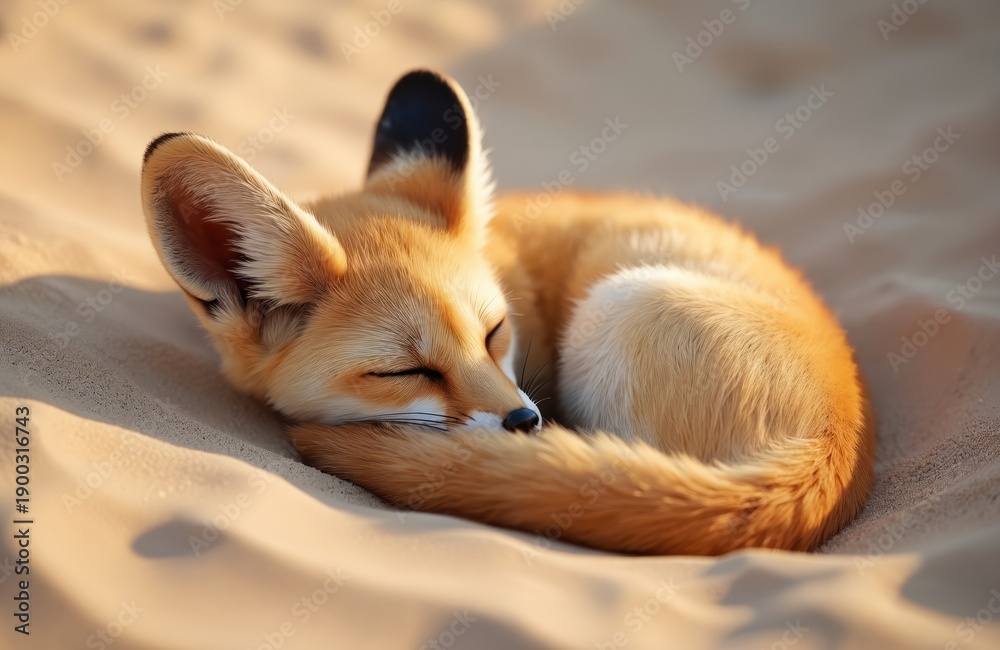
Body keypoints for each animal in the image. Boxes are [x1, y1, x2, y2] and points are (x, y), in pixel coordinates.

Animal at [141, 69, 876, 555]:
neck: (513, 263)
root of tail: (830, 449)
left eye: (495, 333)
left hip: (617, 305)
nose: (526, 422)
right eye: (404, 371)